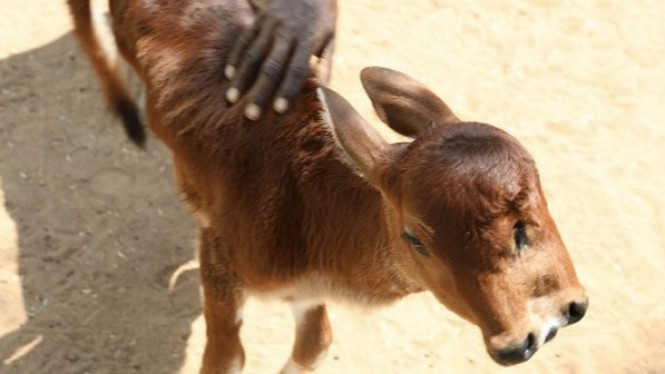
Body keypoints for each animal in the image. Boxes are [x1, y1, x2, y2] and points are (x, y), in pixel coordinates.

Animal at [68, 0, 588, 374]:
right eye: (416, 238)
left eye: (527, 219)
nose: (533, 332)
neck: (305, 209)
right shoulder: (219, 254)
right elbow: (226, 357)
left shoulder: (309, 291)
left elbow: (315, 345)